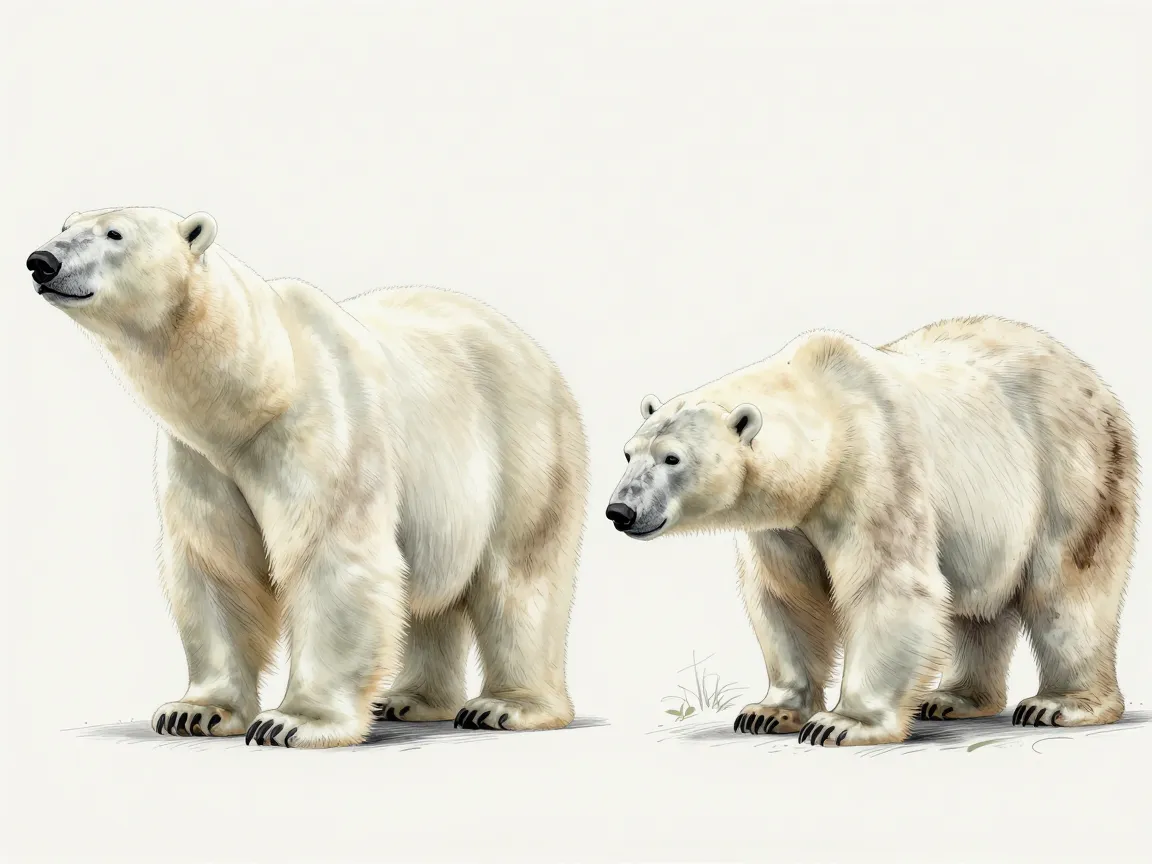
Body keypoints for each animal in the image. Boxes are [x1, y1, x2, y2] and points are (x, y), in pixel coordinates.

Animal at [27, 207, 588, 749]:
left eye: (114, 234)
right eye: (65, 225)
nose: (41, 261)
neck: (255, 392)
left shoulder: (323, 430)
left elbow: (329, 556)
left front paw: (291, 723)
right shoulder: (202, 459)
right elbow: (217, 564)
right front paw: (194, 711)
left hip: (523, 446)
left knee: (519, 574)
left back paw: (505, 706)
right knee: (431, 593)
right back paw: (409, 700)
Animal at [605, 316, 1137, 747]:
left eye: (673, 458)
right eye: (629, 452)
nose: (620, 511)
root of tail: (1087, 373)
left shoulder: (877, 468)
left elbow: (887, 585)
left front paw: (840, 724)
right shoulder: (783, 524)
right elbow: (787, 596)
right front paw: (768, 712)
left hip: (1070, 468)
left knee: (1067, 586)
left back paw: (1059, 704)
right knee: (976, 607)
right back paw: (951, 698)